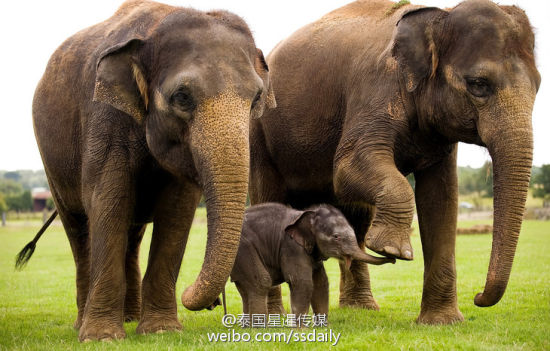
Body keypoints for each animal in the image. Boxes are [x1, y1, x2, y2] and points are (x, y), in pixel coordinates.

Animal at [25, 0, 276, 340]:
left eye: (257, 99)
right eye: (182, 96)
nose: (213, 304)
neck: (157, 25)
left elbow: (176, 212)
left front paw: (160, 331)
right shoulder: (105, 117)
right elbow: (109, 202)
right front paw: (102, 337)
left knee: (132, 235)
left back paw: (130, 317)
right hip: (52, 162)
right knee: (78, 229)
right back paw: (83, 323)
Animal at [229, 202, 396, 320]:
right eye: (336, 237)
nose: (393, 258)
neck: (306, 214)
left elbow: (321, 282)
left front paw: (324, 328)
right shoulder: (290, 246)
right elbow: (302, 282)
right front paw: (302, 331)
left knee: (243, 286)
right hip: (243, 249)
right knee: (260, 282)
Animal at [251, 0, 544, 326]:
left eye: (538, 86)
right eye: (478, 84)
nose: (478, 297)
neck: (439, 15)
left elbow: (441, 198)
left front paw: (441, 322)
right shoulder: (376, 87)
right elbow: (349, 165)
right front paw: (393, 249)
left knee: (356, 216)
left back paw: (361, 308)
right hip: (259, 135)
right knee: (269, 196)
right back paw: (272, 316)